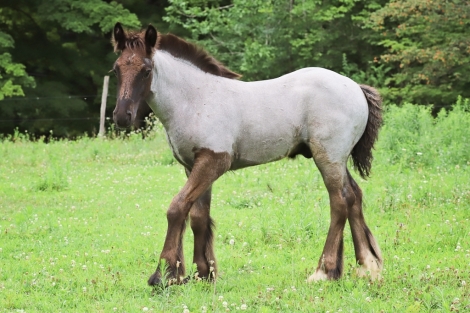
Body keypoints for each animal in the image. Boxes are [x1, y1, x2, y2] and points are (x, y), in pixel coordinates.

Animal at [112, 22, 384, 286]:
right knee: (354, 197)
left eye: (146, 70)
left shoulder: (213, 161)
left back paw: (324, 272)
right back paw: (367, 268)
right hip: (338, 159)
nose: (122, 116)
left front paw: (165, 274)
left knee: (339, 202)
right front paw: (203, 274)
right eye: (116, 70)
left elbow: (177, 208)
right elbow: (199, 216)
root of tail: (356, 88)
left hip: (328, 157)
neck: (196, 99)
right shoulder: (193, 166)